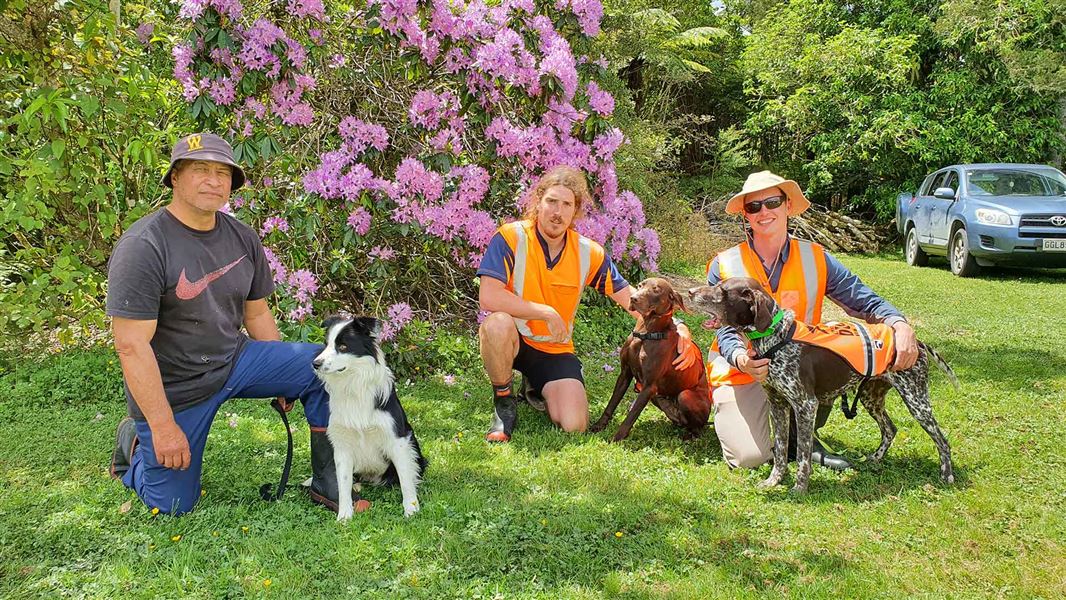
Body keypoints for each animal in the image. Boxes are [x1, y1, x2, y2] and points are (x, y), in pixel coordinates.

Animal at [592, 279, 707, 443]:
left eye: (656, 290)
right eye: (640, 285)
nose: (633, 298)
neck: (645, 334)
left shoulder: (648, 387)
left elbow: (631, 416)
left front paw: (617, 438)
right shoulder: (625, 374)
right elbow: (612, 403)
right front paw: (599, 425)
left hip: (685, 396)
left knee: (698, 427)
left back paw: (690, 436)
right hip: (657, 397)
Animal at [686, 277, 963, 492]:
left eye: (722, 290)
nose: (689, 292)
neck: (776, 338)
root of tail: (915, 342)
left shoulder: (805, 405)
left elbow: (803, 455)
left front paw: (799, 488)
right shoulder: (778, 404)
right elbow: (780, 453)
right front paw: (774, 482)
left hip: (917, 401)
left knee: (943, 440)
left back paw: (947, 475)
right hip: (871, 397)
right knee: (890, 429)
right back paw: (875, 459)